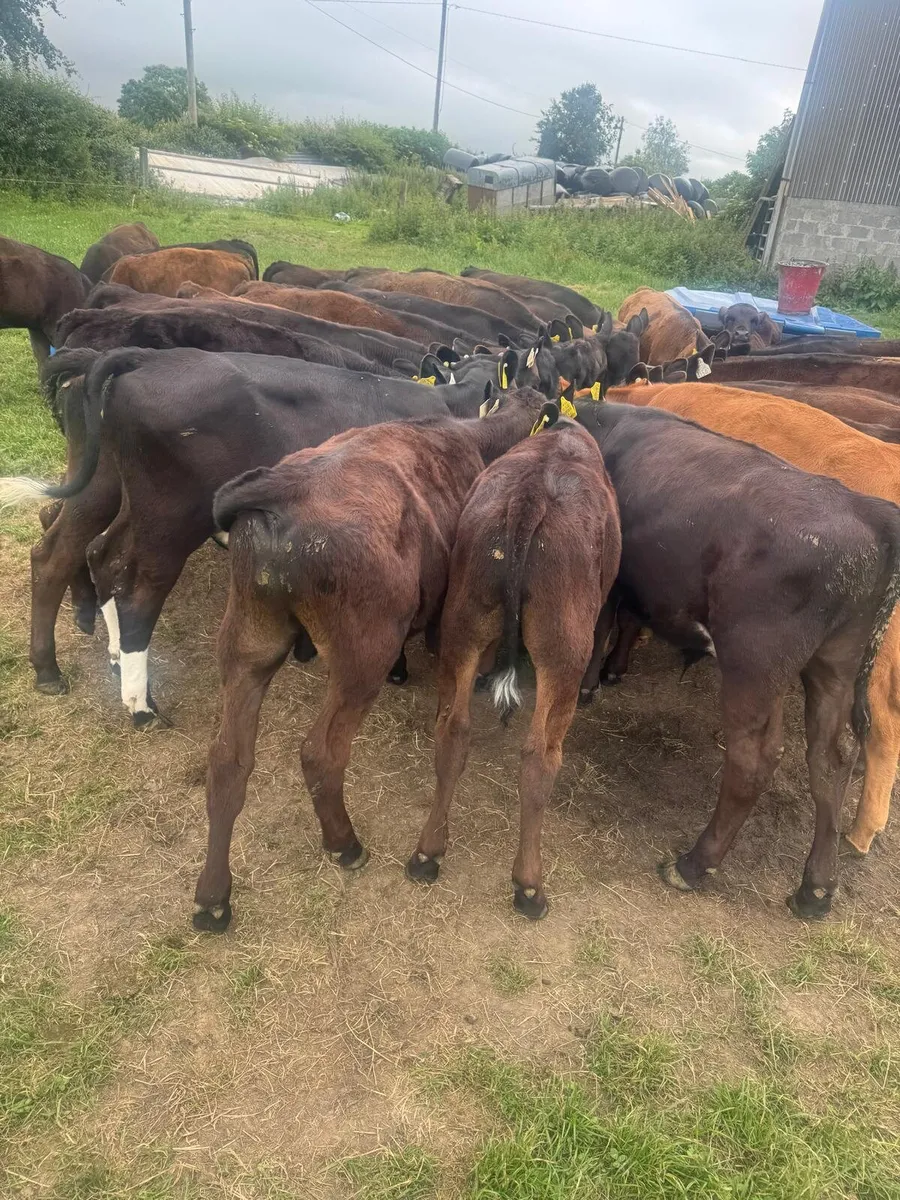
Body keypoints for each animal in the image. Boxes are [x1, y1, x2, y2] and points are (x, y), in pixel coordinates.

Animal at [0, 347, 507, 719]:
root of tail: (146, 356)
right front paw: (397, 668)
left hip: (108, 486)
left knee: (77, 554)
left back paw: (62, 668)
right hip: (171, 516)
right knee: (135, 589)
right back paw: (140, 705)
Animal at [191, 387, 548, 932]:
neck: (469, 436)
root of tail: (285, 487)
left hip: (248, 646)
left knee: (227, 763)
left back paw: (213, 897)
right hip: (362, 657)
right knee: (320, 754)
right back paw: (344, 844)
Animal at [406, 406, 621, 918]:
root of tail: (529, 500)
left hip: (461, 623)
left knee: (452, 732)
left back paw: (427, 852)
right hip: (562, 654)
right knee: (539, 758)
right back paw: (528, 885)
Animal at [573, 398, 900, 918]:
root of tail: (869, 511)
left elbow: (605, 620)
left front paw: (590, 683)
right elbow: (622, 619)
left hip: (754, 665)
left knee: (753, 761)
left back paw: (693, 865)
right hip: (835, 664)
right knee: (830, 762)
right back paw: (815, 890)